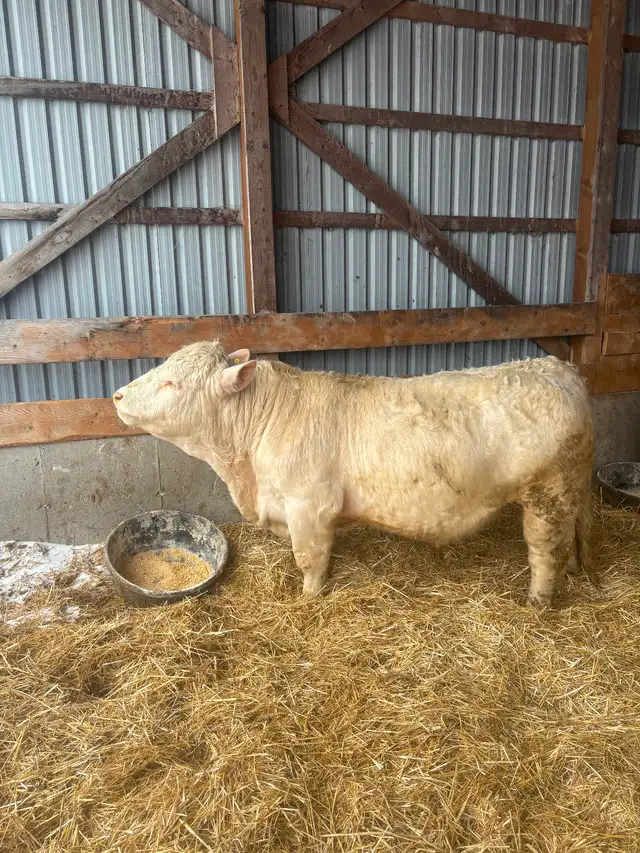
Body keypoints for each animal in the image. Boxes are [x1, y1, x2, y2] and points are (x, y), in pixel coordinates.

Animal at [113, 343, 596, 605]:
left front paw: (309, 599)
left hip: (546, 495)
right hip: (569, 491)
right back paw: (574, 569)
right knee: (572, 535)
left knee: (544, 553)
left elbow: (310, 559)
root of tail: (558, 368)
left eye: (173, 383)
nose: (116, 394)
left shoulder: (309, 506)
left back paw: (538, 600)